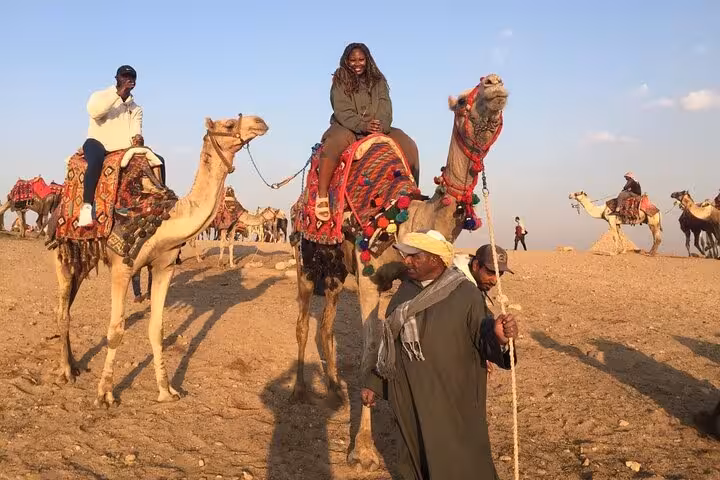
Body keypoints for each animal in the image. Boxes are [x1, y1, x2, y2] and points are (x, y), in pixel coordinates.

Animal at [46, 115, 268, 407]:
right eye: (229, 124)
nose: (260, 121)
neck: (163, 219)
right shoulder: (122, 267)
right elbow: (116, 330)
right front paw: (105, 394)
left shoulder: (164, 267)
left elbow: (157, 330)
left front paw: (166, 390)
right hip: (63, 254)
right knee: (63, 310)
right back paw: (65, 372)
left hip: (83, 259)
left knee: (67, 307)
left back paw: (73, 363)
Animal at [290, 74, 508, 469]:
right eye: (462, 102)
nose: (494, 83)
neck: (401, 215)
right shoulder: (368, 280)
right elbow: (367, 355)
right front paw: (362, 451)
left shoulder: (406, 277)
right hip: (305, 262)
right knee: (302, 324)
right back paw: (299, 390)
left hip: (335, 274)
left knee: (326, 326)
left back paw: (334, 390)